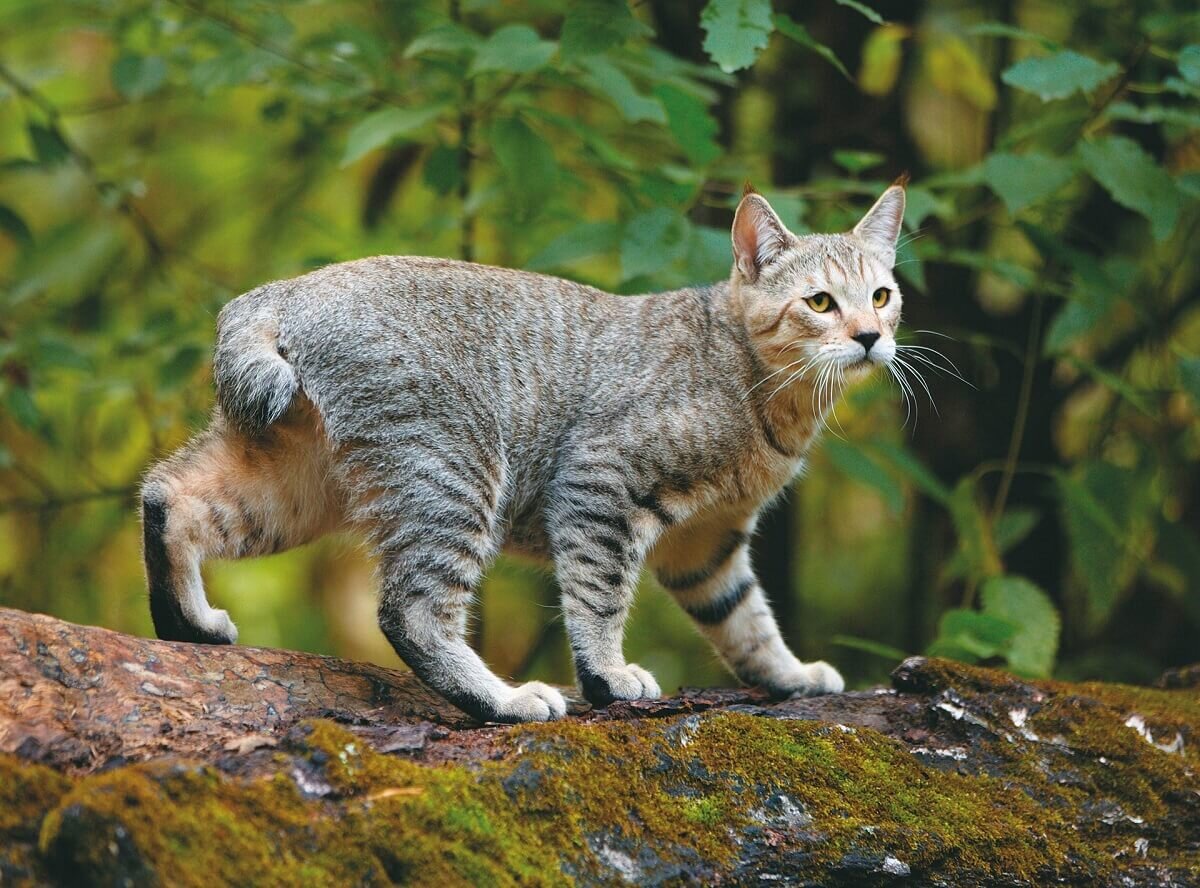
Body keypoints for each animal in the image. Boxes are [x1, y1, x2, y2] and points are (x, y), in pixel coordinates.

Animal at [138, 178, 907, 720]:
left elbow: (747, 621)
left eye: (882, 294)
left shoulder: (708, 543)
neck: (761, 390)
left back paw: (186, 623)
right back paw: (504, 701)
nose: (872, 336)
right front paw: (608, 677)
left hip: (296, 483)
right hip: (452, 473)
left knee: (171, 495)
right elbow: (599, 596)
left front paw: (792, 676)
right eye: (819, 303)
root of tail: (282, 291)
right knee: (410, 610)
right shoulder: (602, 482)